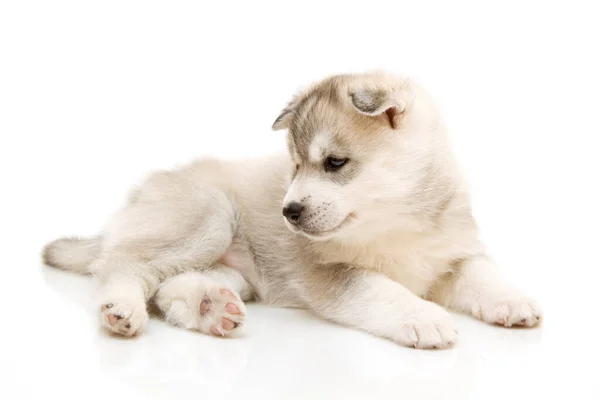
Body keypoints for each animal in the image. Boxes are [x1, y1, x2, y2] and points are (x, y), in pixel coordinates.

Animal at [42, 71, 540, 346]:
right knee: (122, 267)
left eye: (334, 163)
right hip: (210, 215)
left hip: (235, 272)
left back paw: (208, 307)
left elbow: (482, 274)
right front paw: (422, 316)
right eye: (295, 166)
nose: (289, 212)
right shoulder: (329, 272)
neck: (394, 221)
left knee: (167, 289)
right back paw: (123, 309)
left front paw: (512, 300)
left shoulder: (453, 255)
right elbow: (380, 289)